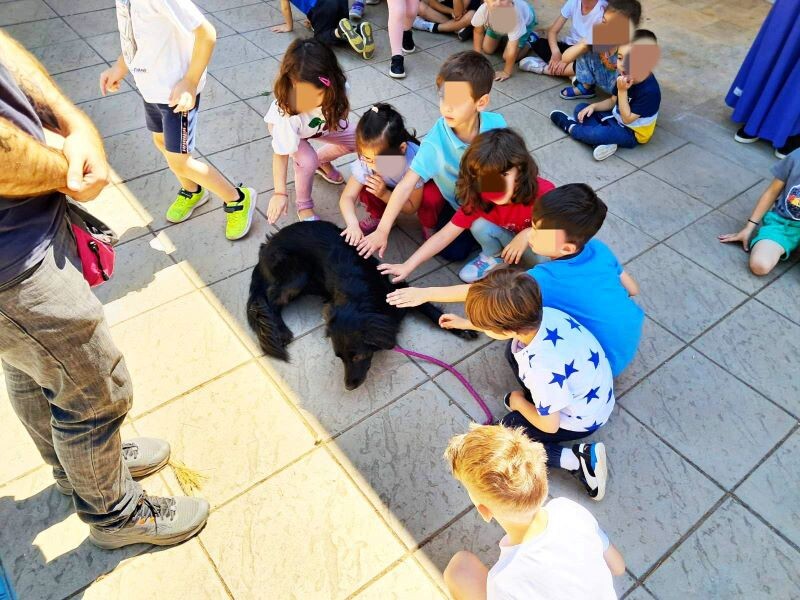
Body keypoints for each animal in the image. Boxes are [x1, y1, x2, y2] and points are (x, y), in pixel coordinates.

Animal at [247, 220, 478, 390]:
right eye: (339, 357)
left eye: (357, 356)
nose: (348, 387)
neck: (359, 296)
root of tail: (264, 247)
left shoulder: (398, 288)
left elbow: (429, 307)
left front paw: (459, 327)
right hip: (297, 275)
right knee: (269, 300)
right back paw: (281, 330)